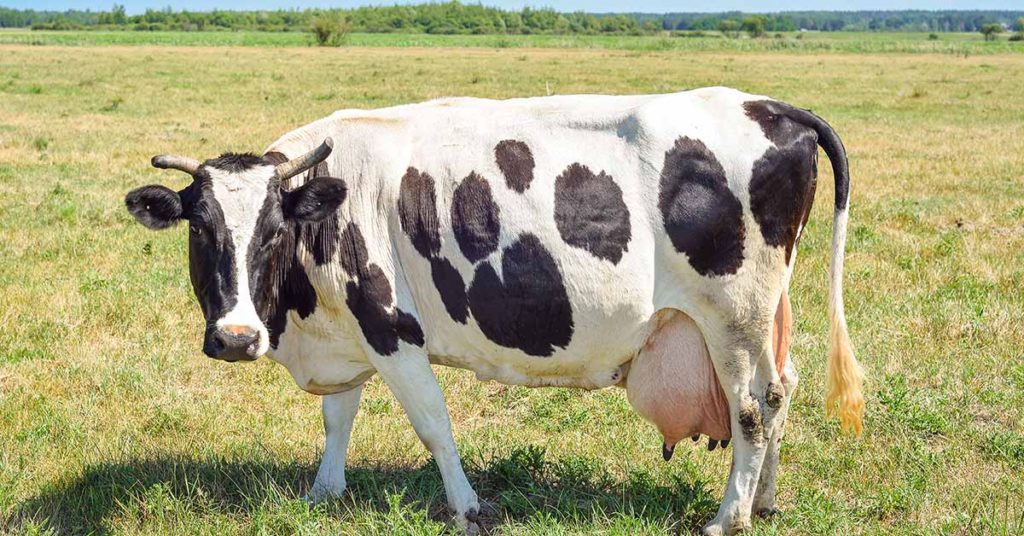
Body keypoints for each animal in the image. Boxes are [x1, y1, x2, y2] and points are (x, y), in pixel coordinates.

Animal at [125, 87, 864, 535]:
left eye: (272, 230)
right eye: (201, 229)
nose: (235, 336)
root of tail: (772, 107)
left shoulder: (390, 328)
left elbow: (433, 426)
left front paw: (467, 507)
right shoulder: (349, 330)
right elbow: (339, 417)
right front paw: (323, 494)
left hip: (732, 316)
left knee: (750, 409)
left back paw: (728, 516)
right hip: (763, 317)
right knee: (779, 391)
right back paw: (764, 501)